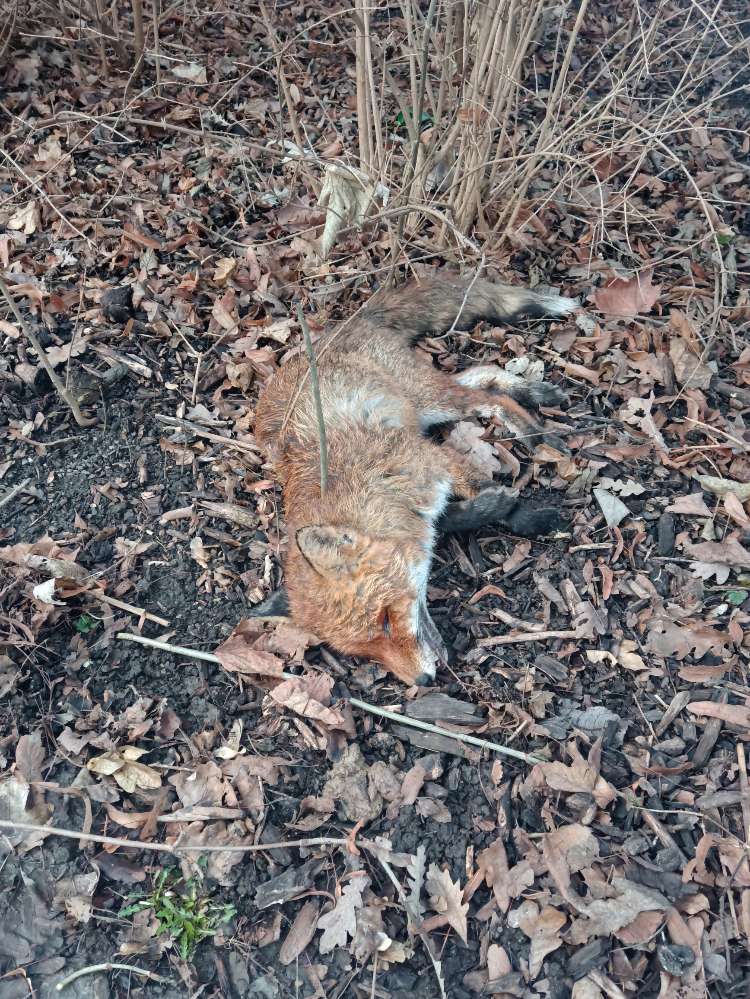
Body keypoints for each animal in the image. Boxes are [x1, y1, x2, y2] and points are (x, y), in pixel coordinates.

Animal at [252, 274, 577, 686]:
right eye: (366, 653)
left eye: (386, 621)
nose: (422, 683)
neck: (372, 495)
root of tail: (334, 331)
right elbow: (450, 520)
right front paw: (486, 509)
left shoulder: (429, 458)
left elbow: (485, 495)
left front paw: (531, 518)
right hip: (424, 407)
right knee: (482, 377)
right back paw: (534, 393)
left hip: (426, 400)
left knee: (487, 399)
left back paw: (537, 431)